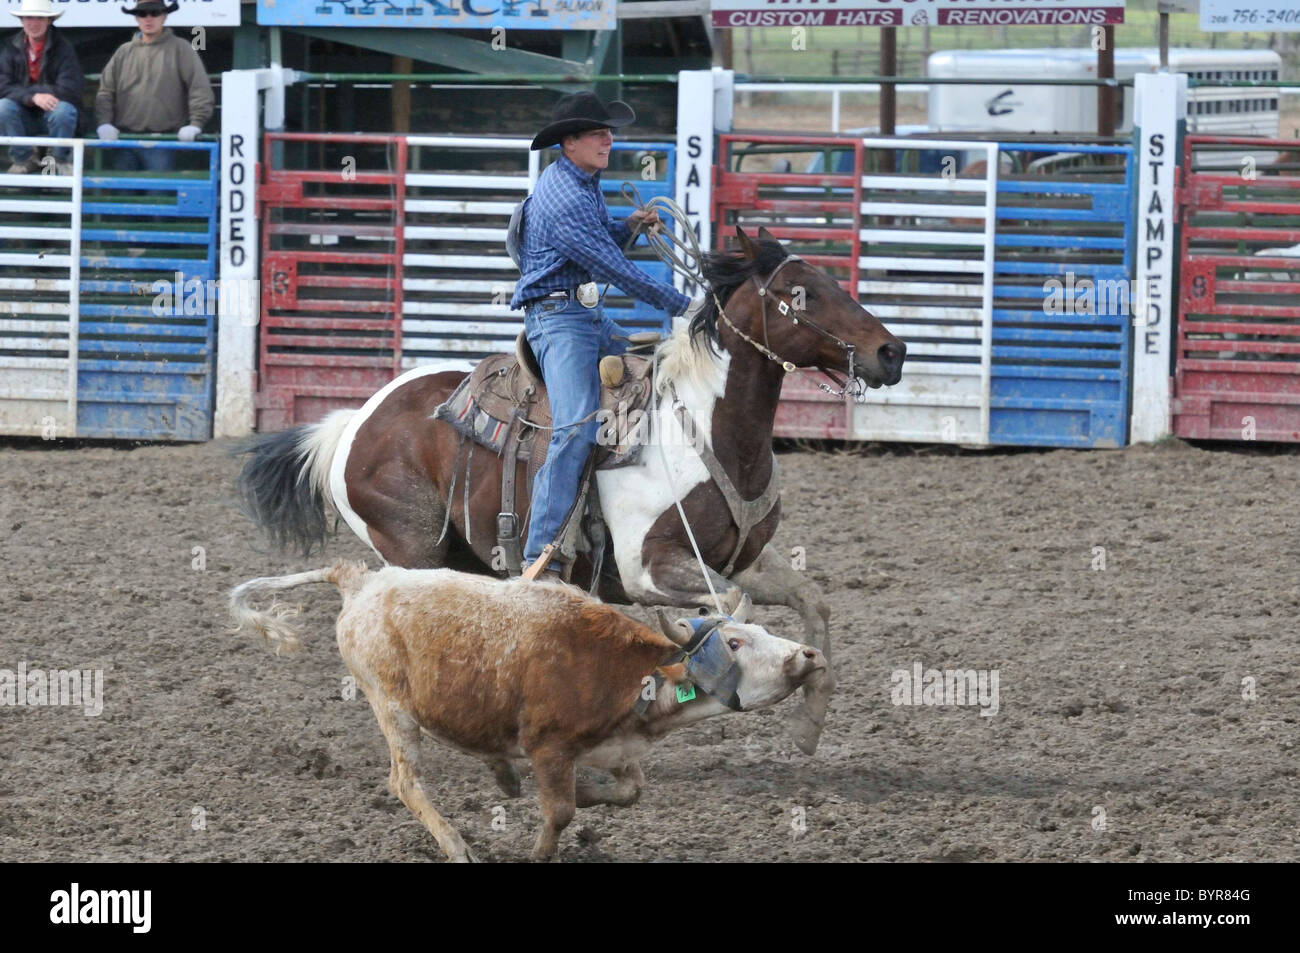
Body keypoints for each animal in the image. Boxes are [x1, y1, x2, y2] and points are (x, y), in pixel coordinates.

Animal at [228, 562, 828, 862]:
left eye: (762, 630)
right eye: (735, 643)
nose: (807, 654)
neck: (628, 674)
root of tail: (360, 579)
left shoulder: (613, 746)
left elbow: (628, 791)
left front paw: (585, 791)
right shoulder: (550, 744)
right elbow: (559, 811)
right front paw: (540, 849)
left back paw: (502, 774)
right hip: (390, 703)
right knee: (405, 781)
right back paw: (458, 847)